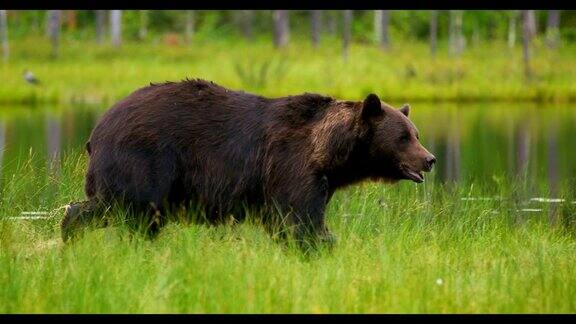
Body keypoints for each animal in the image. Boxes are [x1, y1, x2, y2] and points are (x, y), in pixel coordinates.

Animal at [60, 79, 434, 247]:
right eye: (404, 137)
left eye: (415, 133)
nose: (430, 159)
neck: (330, 153)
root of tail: (98, 129)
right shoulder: (290, 165)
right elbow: (298, 219)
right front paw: (317, 244)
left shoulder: (319, 180)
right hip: (144, 159)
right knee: (128, 205)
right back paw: (73, 233)